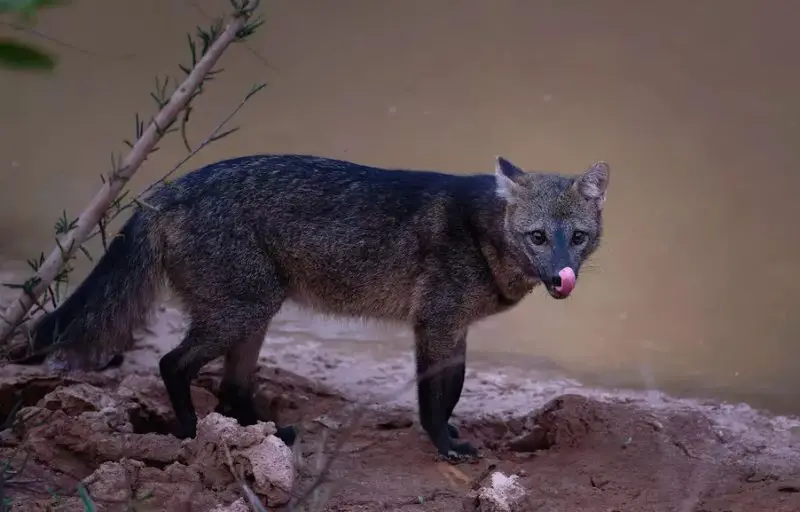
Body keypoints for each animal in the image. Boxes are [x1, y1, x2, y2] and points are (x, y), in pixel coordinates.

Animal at [28, 153, 610, 461]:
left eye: (577, 239)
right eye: (538, 237)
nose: (562, 277)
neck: (481, 231)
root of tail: (164, 193)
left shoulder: (452, 330)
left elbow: (455, 389)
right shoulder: (436, 325)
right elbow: (435, 400)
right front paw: (443, 442)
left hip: (255, 314)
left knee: (232, 387)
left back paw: (264, 432)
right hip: (244, 312)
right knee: (173, 364)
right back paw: (191, 432)